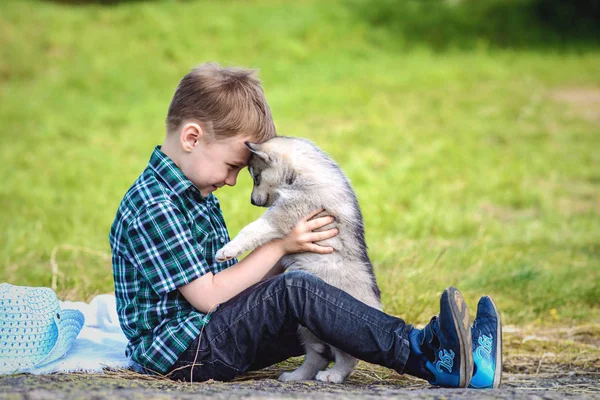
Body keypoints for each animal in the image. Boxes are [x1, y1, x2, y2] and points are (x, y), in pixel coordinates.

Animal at [214, 137, 380, 384]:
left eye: (256, 177)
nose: (252, 201)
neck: (302, 174)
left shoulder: (289, 211)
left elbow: (253, 228)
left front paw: (228, 249)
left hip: (334, 328)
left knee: (347, 358)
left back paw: (333, 375)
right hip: (305, 328)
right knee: (317, 355)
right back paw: (296, 376)